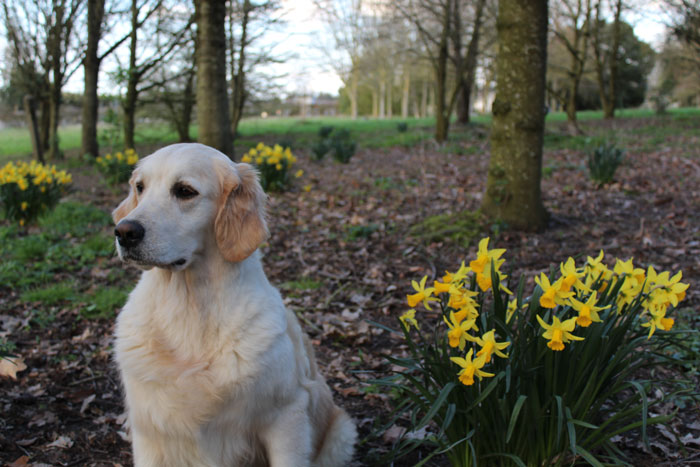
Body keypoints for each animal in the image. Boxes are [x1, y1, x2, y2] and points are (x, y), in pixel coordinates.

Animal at [114, 144, 358, 466]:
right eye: (140, 187)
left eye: (185, 191)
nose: (124, 231)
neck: (190, 306)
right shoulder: (149, 431)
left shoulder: (286, 416)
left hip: (340, 433)